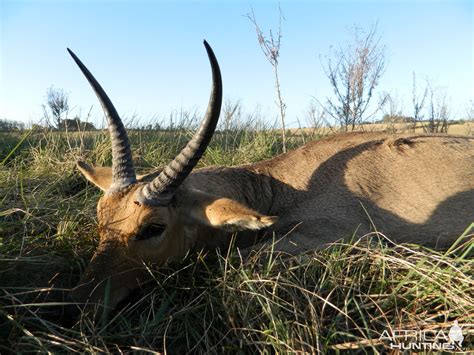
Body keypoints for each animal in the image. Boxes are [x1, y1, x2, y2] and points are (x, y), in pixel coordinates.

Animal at [66, 40, 474, 316]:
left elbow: (237, 259)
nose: (78, 304)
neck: (280, 188)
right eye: (101, 218)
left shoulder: (339, 237)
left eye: (153, 227)